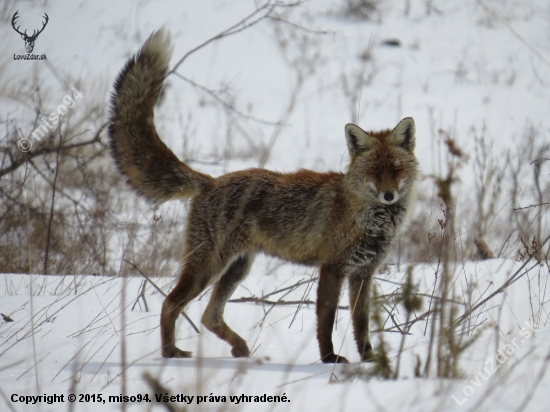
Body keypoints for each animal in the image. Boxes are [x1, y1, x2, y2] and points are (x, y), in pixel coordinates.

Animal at [108, 29, 420, 364]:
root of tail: (211, 181)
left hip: (237, 268)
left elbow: (361, 323)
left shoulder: (363, 273)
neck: (371, 219)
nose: (388, 195)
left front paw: (371, 359)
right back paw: (170, 353)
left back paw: (238, 348)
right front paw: (329, 359)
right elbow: (327, 320)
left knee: (209, 316)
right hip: (209, 266)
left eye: (396, 170)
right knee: (170, 304)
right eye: (373, 172)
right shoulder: (332, 268)